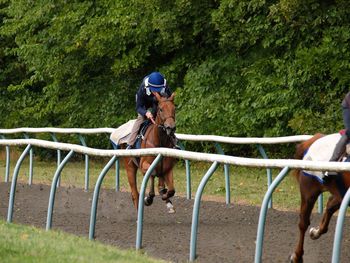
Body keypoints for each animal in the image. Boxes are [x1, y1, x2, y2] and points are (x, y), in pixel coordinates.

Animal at [292, 134, 350, 263]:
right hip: (309, 191)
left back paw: (316, 232)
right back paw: (297, 256)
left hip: (339, 192)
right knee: (303, 223)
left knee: (329, 205)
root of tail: (316, 137)